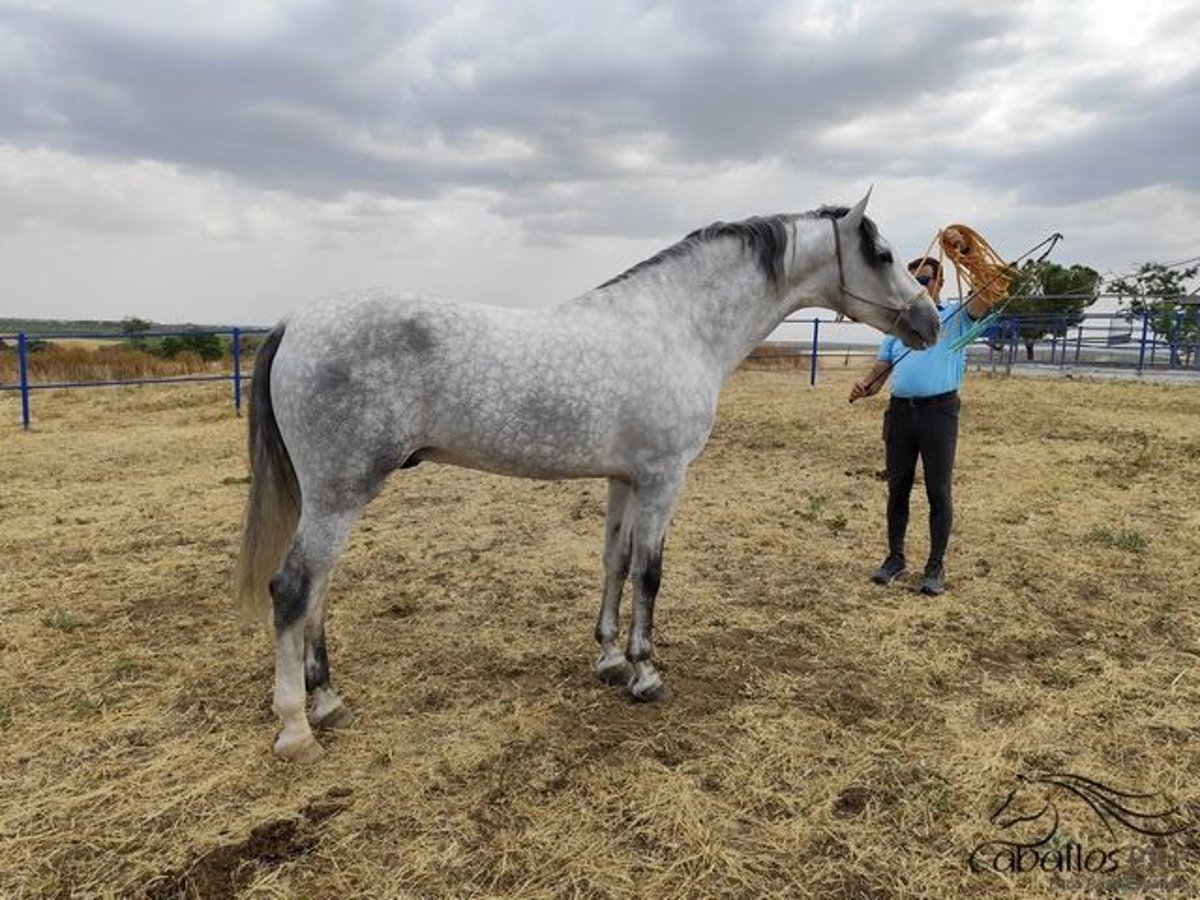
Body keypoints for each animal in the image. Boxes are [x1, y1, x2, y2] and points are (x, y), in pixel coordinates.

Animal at [234, 195, 936, 763]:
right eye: (882, 253)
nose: (928, 323)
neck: (678, 326)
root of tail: (295, 322)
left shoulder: (624, 479)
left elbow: (615, 563)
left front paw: (609, 660)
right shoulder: (662, 478)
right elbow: (650, 572)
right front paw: (646, 673)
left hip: (333, 496)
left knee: (318, 589)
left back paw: (328, 701)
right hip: (339, 493)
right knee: (293, 588)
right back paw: (297, 728)